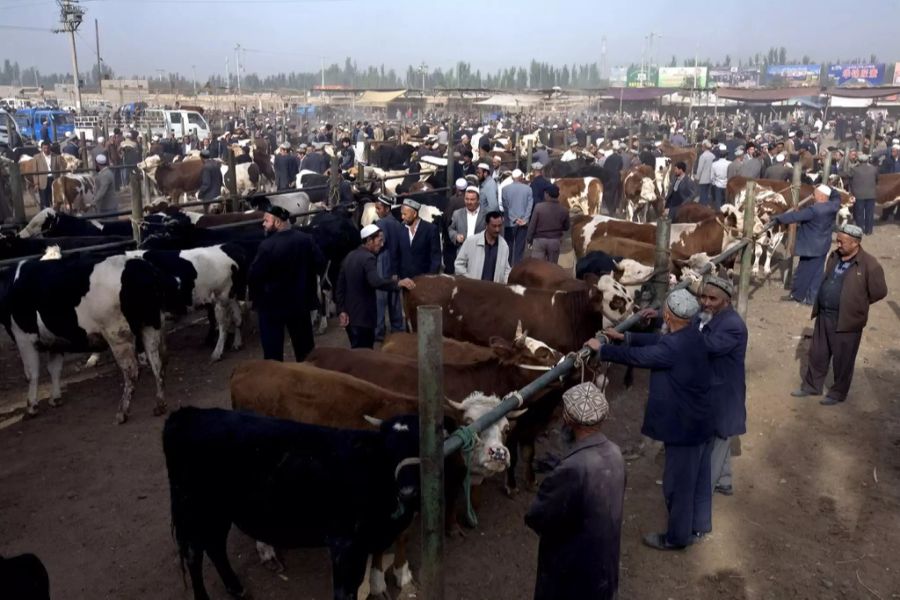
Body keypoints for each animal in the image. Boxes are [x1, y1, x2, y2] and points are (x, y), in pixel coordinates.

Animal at [0, 253, 179, 422]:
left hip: (118, 335)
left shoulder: (23, 337)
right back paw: (159, 405)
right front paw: (55, 398)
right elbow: (54, 369)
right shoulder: (56, 341)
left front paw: (31, 407)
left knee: (132, 372)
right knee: (158, 364)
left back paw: (122, 413)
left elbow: (31, 374)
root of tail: (143, 268)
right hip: (151, 326)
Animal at [163, 408, 424, 600]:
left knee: (214, 546)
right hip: (195, 508)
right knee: (194, 554)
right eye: (388, 449)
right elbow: (345, 591)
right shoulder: (345, 545)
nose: (408, 491)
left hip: (218, 511)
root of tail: (186, 414)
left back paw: (236, 588)